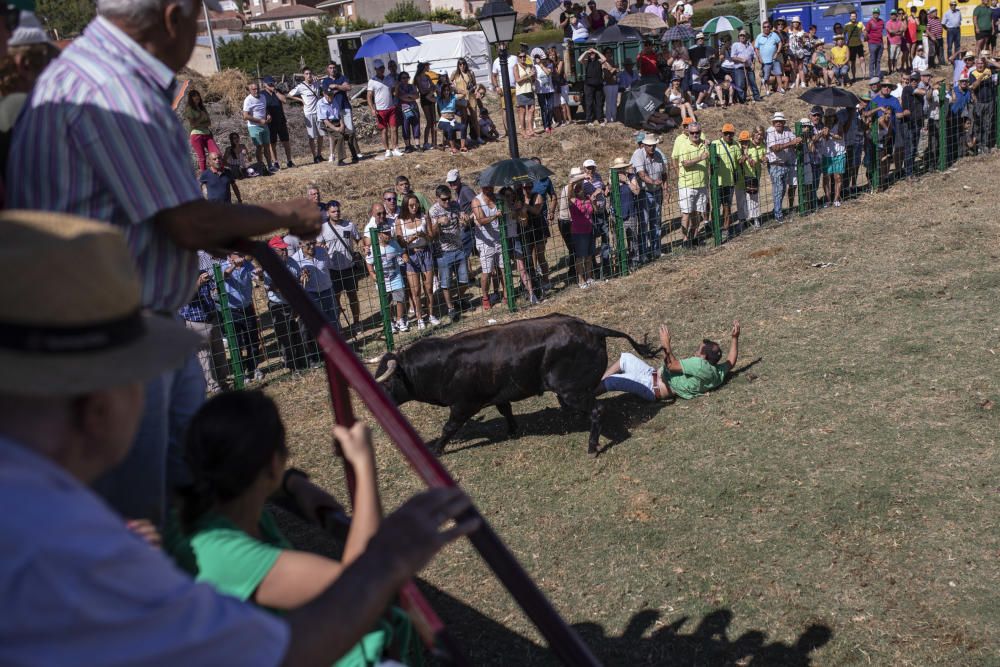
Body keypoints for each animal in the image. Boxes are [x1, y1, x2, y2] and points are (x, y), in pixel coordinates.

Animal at [372, 316, 660, 456]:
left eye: (387, 384)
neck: (443, 362)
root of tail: (592, 328)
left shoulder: (464, 404)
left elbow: (449, 427)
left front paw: (436, 450)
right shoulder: (498, 393)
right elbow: (505, 409)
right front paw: (512, 430)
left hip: (570, 390)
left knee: (597, 410)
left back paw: (591, 446)